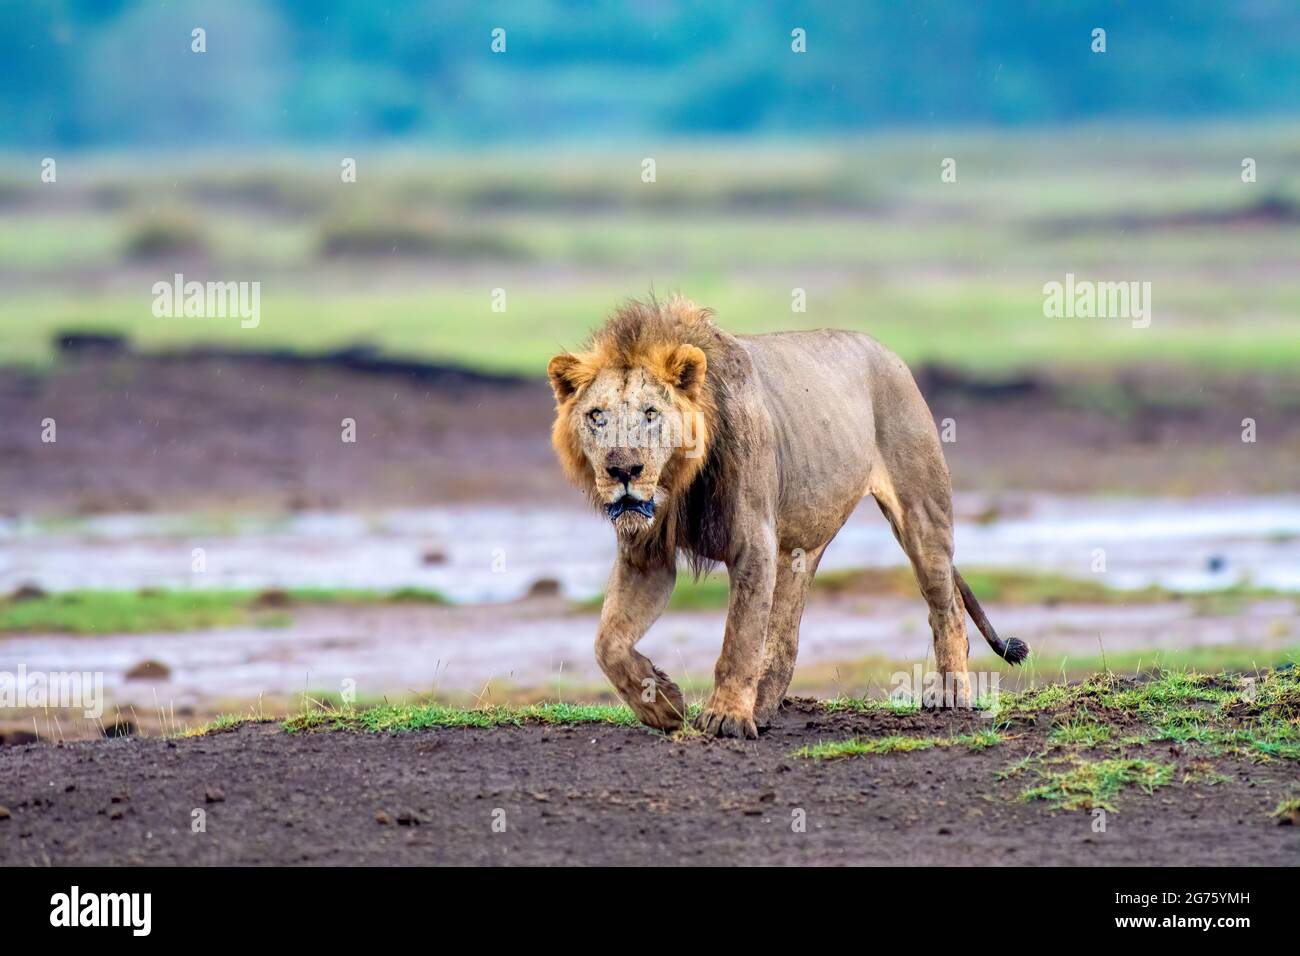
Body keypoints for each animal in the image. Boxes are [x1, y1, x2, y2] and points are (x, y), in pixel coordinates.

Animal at [547, 295, 1027, 739]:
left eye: (651, 414)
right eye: (596, 416)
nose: (623, 470)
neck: (678, 481)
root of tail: (888, 353)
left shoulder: (753, 544)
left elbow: (739, 639)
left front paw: (725, 718)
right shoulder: (645, 557)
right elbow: (608, 643)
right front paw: (662, 704)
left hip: (922, 513)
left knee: (946, 607)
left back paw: (951, 693)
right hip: (799, 547)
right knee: (785, 633)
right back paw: (762, 705)